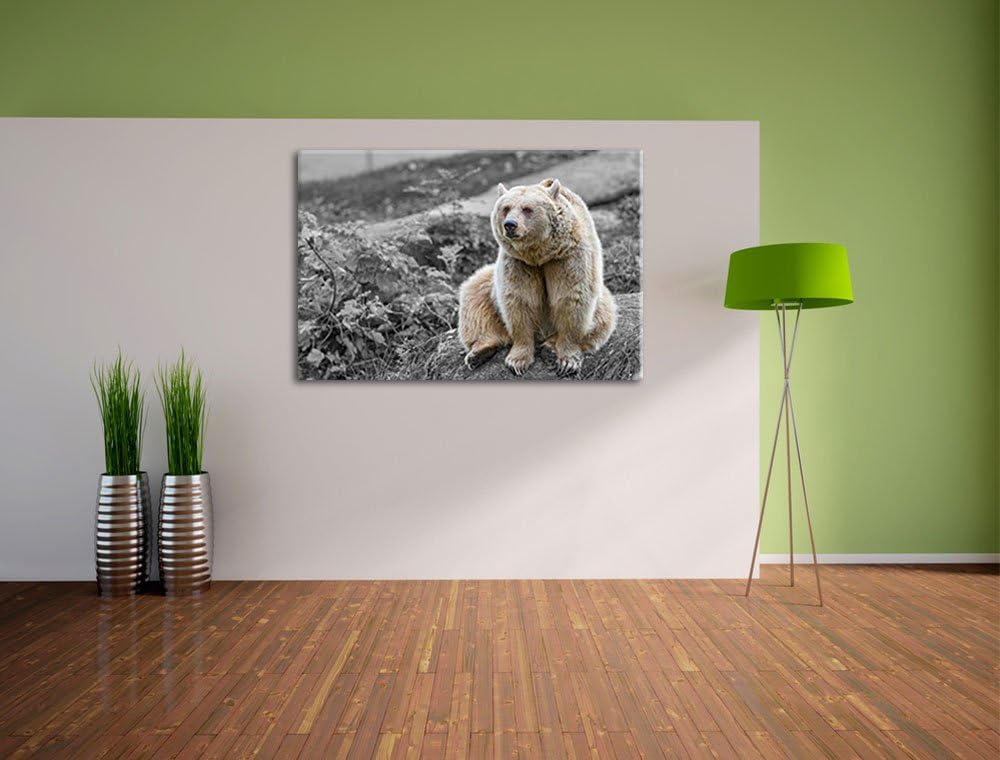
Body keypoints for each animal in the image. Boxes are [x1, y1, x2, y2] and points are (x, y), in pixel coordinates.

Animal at [457, 178, 617, 376]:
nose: (510, 225)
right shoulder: (518, 263)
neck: (540, 254)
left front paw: (567, 360)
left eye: (527, 209)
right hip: (488, 285)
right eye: (506, 208)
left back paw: (550, 346)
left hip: (601, 300)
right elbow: (520, 300)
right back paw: (479, 352)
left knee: (602, 317)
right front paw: (517, 361)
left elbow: (571, 299)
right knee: (475, 299)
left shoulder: (568, 257)